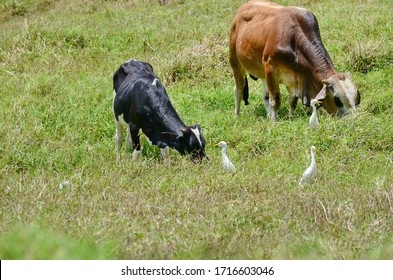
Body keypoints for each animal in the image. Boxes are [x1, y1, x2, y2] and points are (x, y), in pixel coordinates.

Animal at [228, 0, 360, 120]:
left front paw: (290, 117)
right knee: (239, 89)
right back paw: (236, 115)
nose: (352, 119)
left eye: (356, 97)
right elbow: (275, 100)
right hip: (235, 60)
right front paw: (273, 122)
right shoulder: (270, 68)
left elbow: (293, 101)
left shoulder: (293, 78)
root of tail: (243, 7)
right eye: (337, 100)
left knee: (265, 95)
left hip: (261, 70)